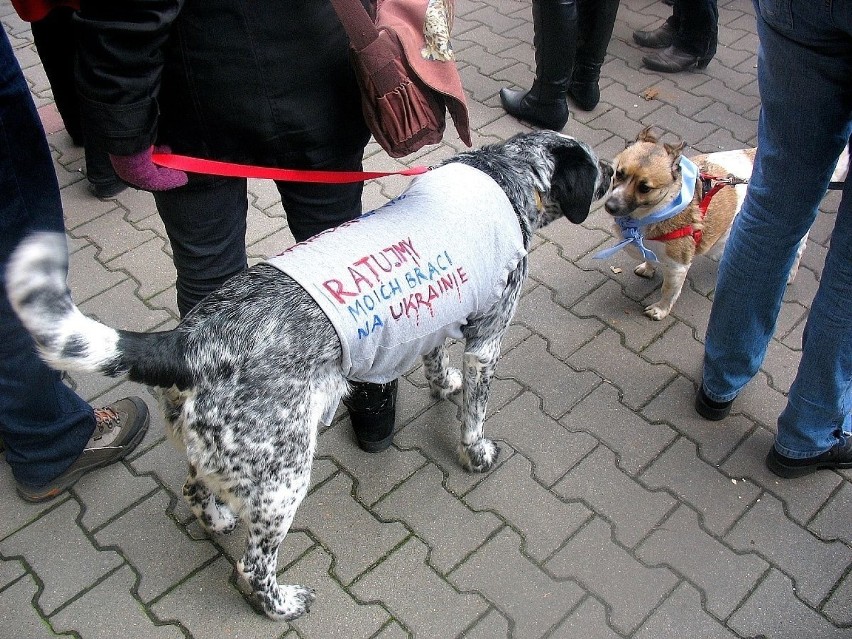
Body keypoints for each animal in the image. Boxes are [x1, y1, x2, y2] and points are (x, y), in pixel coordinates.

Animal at [10, 129, 616, 620]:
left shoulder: (437, 316)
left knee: (194, 489)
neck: (504, 176)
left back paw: (219, 519)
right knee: (252, 569)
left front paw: (444, 385)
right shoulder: (488, 338)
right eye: (592, 165)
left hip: (222, 459)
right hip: (285, 480)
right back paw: (282, 605)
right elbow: (474, 418)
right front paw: (477, 452)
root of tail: (188, 342)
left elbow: (435, 360)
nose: (615, 172)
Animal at [604, 129, 804, 320]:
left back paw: (790, 275)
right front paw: (648, 268)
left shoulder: (678, 267)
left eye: (645, 188)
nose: (610, 206)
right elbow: (649, 257)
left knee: (798, 252)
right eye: (619, 173)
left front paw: (660, 309)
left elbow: (668, 291)